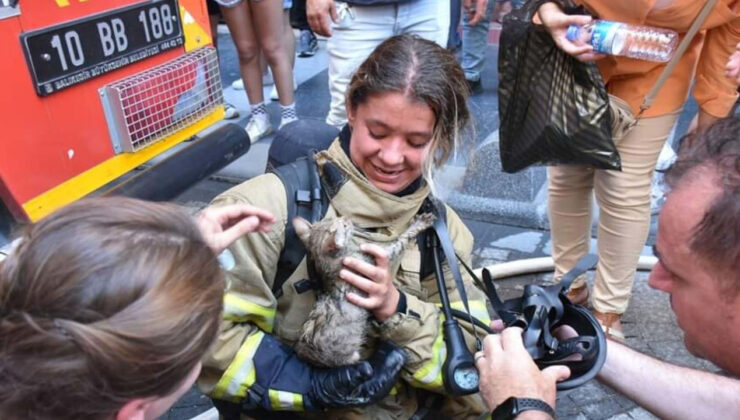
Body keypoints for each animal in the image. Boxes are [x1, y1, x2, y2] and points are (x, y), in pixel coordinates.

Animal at [294, 215, 436, 366]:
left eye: (331, 218)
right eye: (344, 226)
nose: (346, 218)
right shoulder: (375, 259)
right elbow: (400, 241)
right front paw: (419, 224)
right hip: (349, 356)